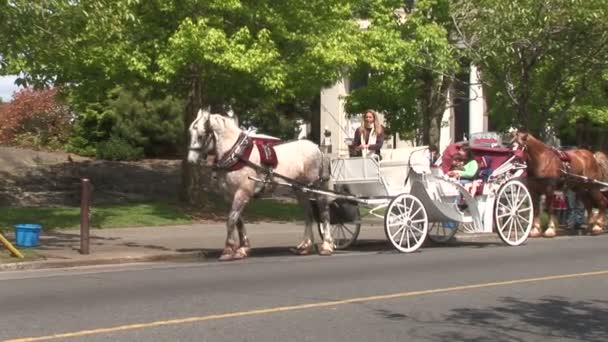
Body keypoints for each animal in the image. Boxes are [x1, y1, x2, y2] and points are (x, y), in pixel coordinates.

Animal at [188, 108, 334, 260]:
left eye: (201, 135)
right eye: (190, 133)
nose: (190, 160)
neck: (238, 156)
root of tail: (317, 148)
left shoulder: (242, 192)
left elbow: (231, 220)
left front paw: (228, 249)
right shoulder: (230, 195)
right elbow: (238, 221)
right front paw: (243, 248)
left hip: (316, 187)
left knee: (324, 212)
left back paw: (326, 245)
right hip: (300, 190)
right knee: (308, 214)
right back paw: (306, 246)